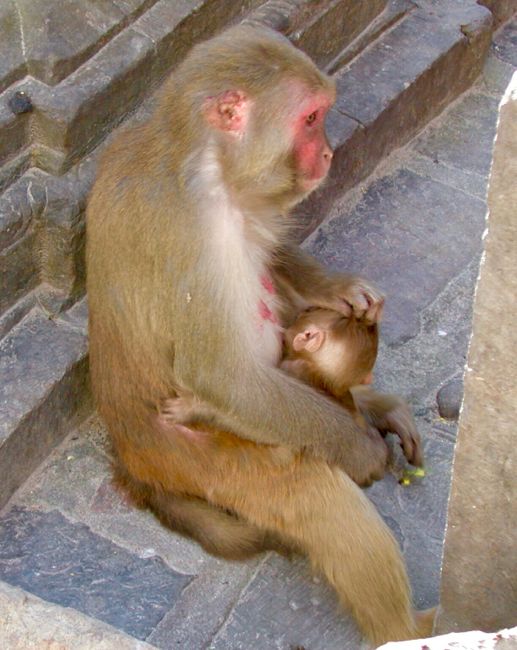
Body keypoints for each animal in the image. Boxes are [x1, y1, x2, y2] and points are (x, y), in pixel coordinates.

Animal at [86, 24, 435, 645]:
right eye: (311, 118)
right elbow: (219, 375)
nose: (329, 153)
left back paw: (376, 403)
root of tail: (133, 460)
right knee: (317, 494)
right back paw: (406, 627)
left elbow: (273, 256)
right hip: (214, 466)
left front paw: (338, 288)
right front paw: (361, 449)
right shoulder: (190, 235)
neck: (201, 165)